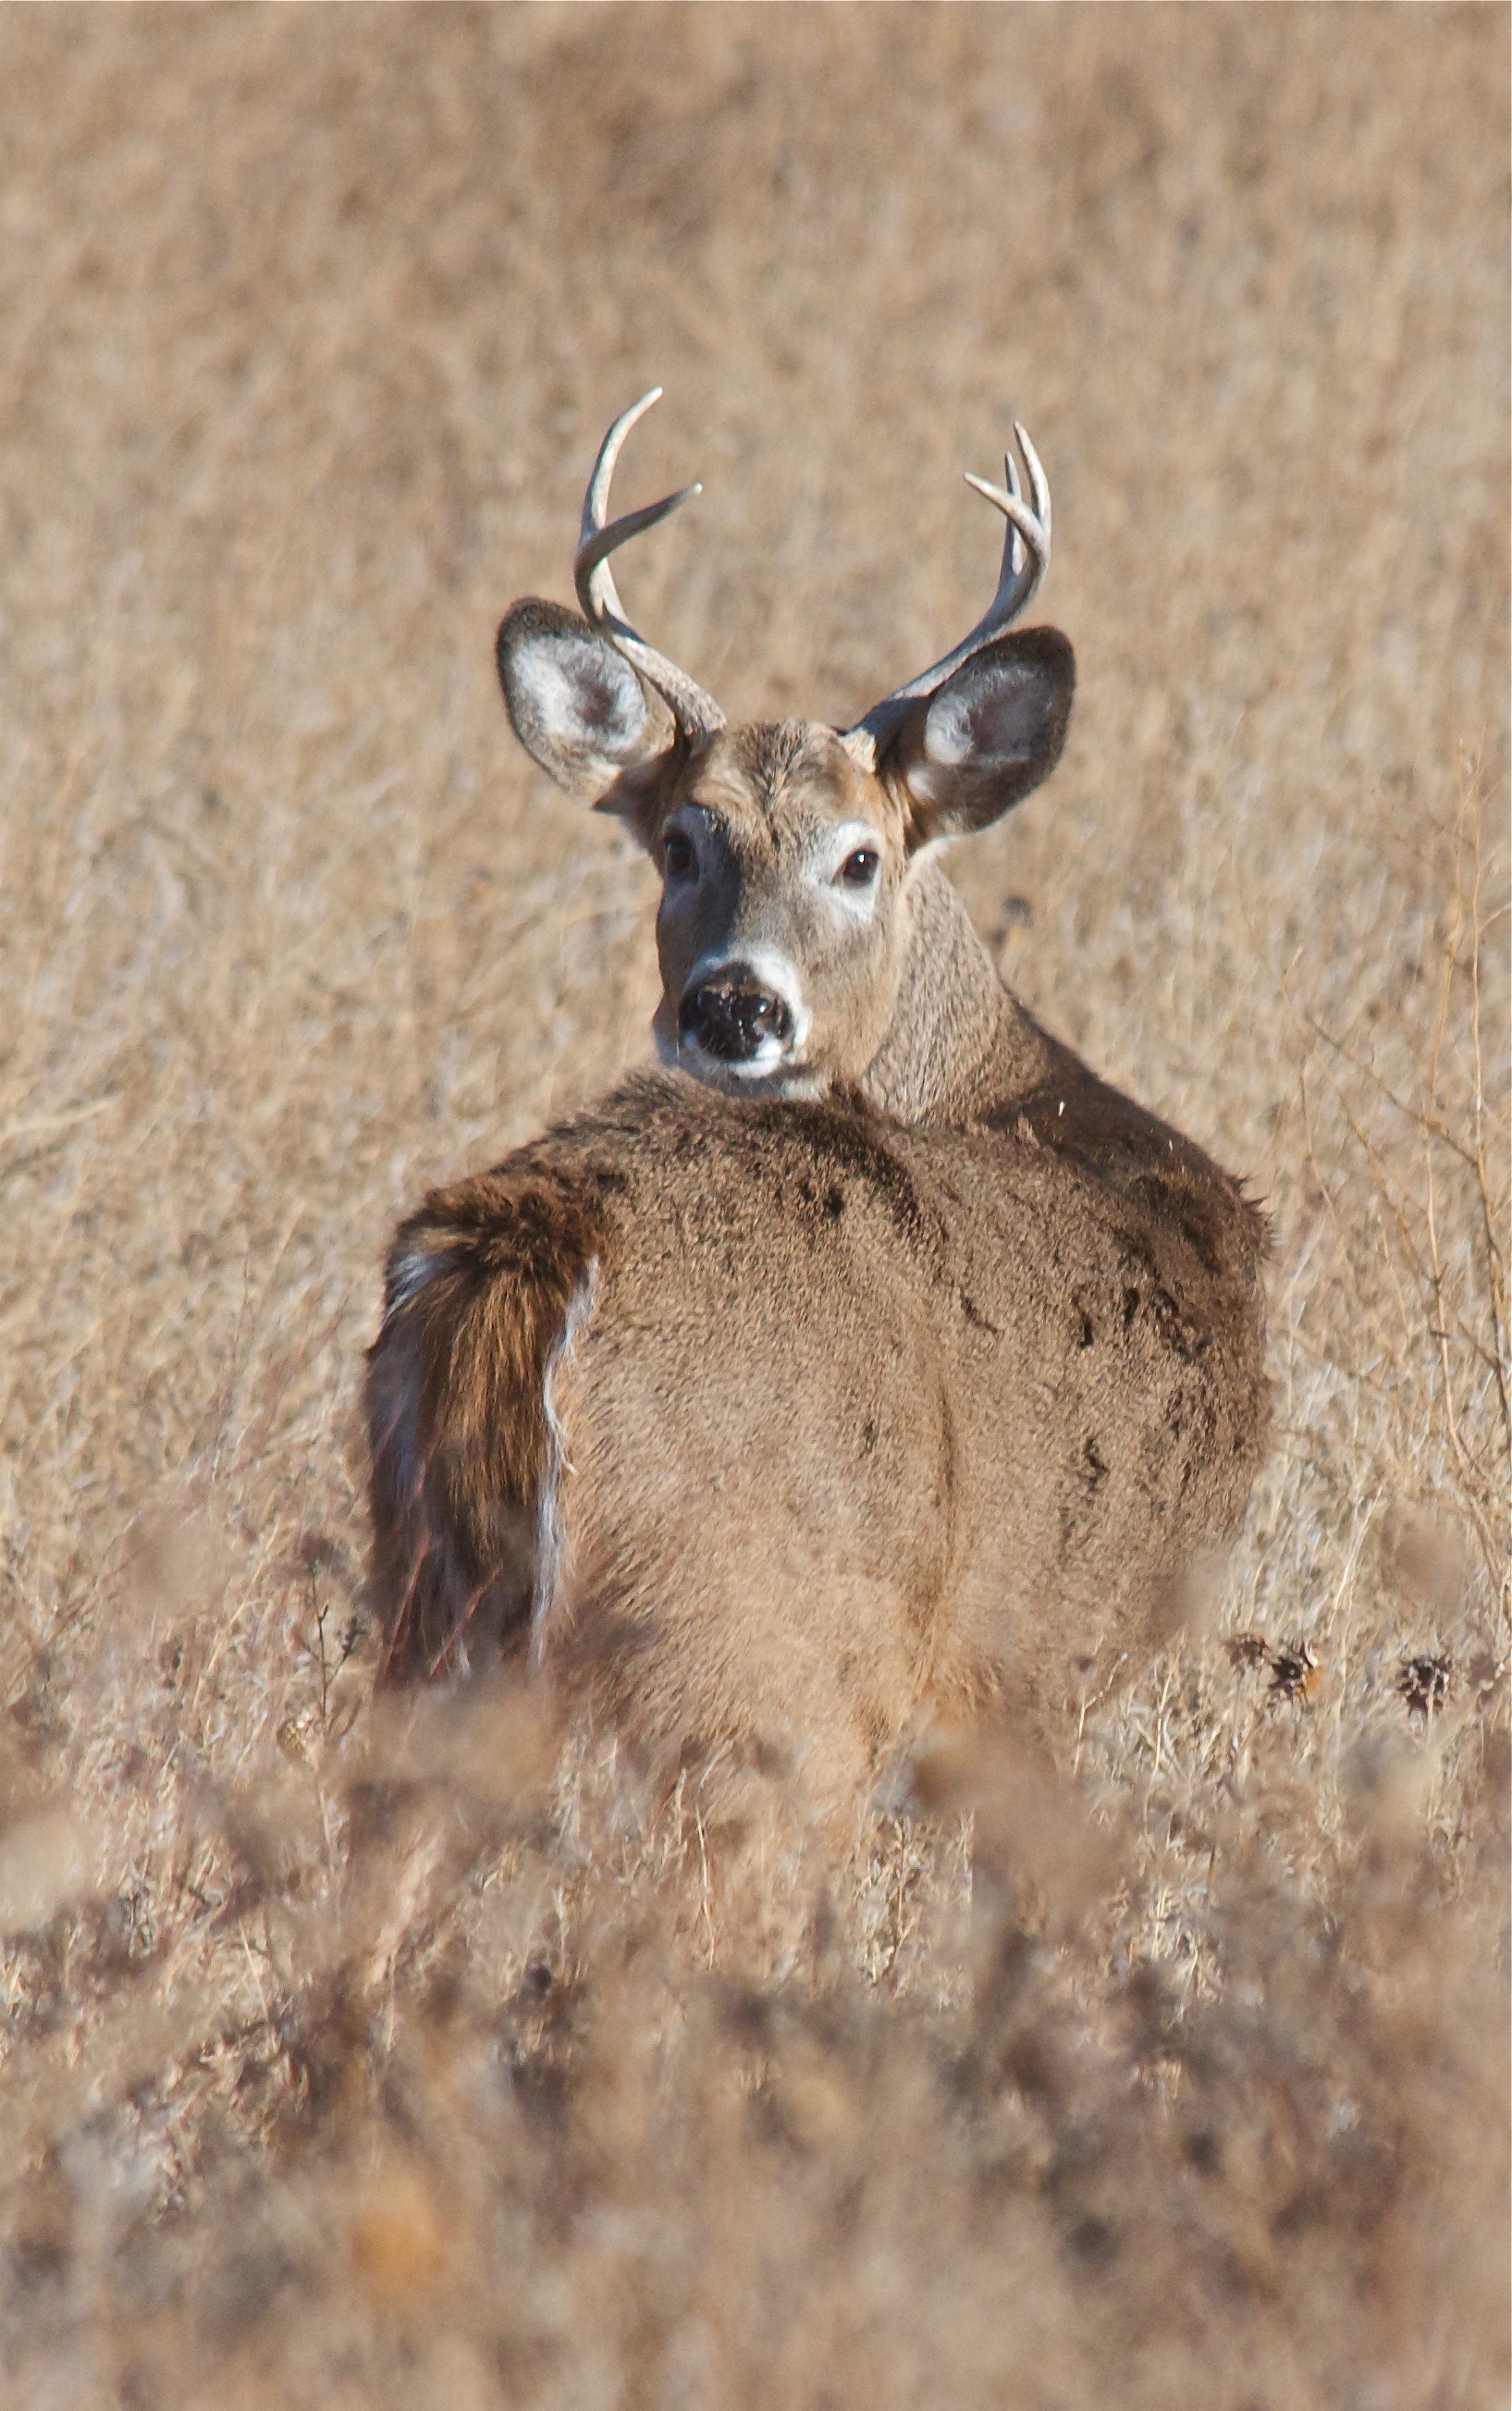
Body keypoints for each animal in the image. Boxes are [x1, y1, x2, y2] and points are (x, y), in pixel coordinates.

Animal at [363, 395, 1263, 1822]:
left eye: (860, 857)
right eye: (680, 841)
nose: (734, 1006)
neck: (1019, 1087)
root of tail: (543, 1235)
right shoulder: (1045, 1668)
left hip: (427, 1628)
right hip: (778, 1667)